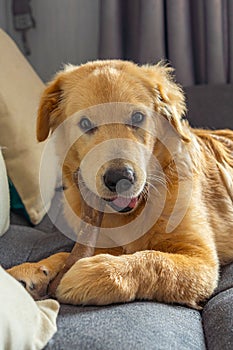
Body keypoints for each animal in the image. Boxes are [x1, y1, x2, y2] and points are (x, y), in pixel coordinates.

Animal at [6, 60, 233, 308]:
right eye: (85, 123)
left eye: (137, 117)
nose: (120, 178)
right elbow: (64, 255)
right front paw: (32, 270)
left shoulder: (202, 259)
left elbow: (153, 260)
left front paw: (91, 274)